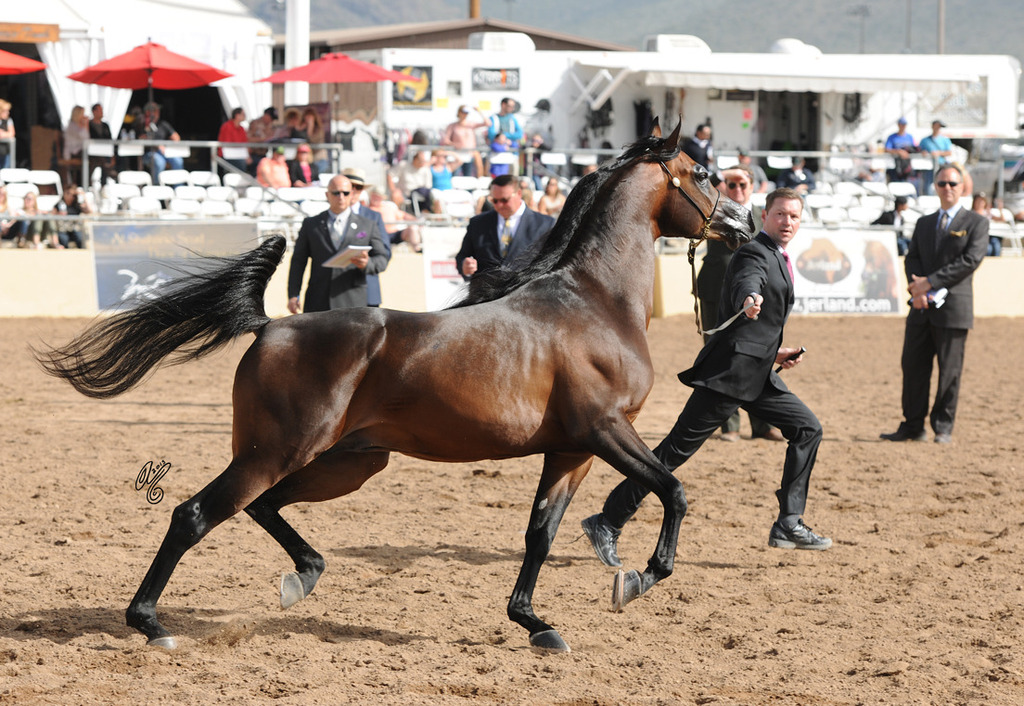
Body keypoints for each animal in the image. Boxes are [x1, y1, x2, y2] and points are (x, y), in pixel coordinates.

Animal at [35, 119, 754, 654]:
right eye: (705, 175)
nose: (744, 226)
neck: (593, 303)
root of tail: (272, 325)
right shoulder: (607, 430)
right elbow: (673, 490)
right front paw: (639, 579)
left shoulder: (570, 450)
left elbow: (540, 534)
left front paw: (535, 623)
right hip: (279, 453)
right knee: (196, 514)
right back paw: (151, 624)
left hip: (349, 462)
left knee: (264, 508)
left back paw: (302, 578)